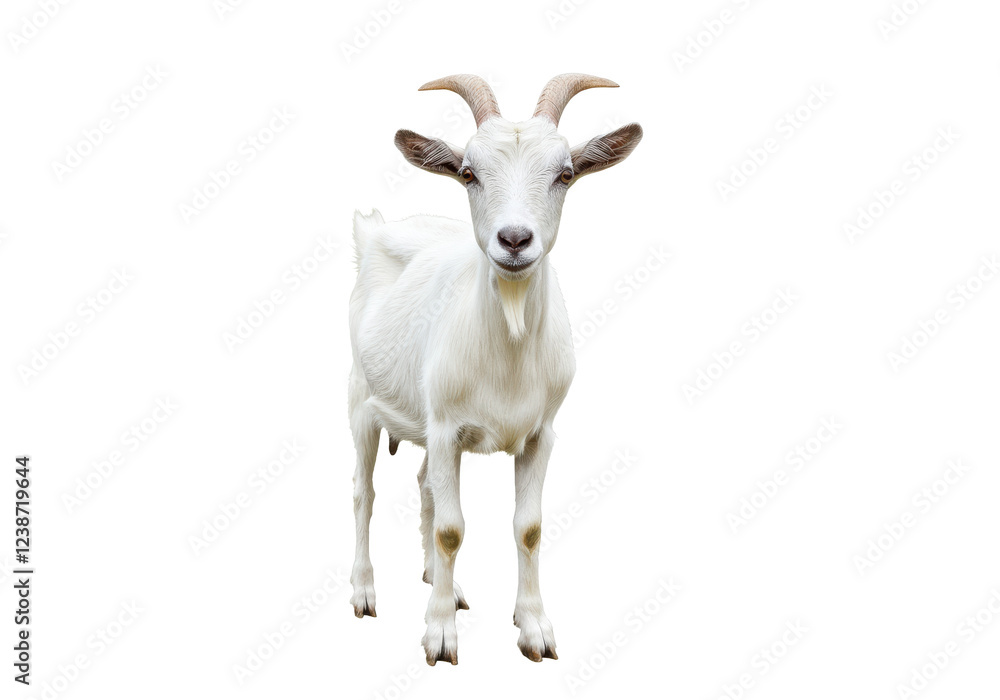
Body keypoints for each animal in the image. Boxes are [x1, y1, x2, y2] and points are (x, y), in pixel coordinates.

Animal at [349, 73, 642, 665]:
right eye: (469, 173)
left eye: (565, 174)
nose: (513, 240)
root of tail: (375, 230)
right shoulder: (445, 428)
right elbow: (451, 529)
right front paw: (439, 636)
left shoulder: (539, 433)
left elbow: (527, 528)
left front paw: (534, 630)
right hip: (360, 401)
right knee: (364, 493)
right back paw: (365, 592)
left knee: (424, 485)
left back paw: (440, 581)